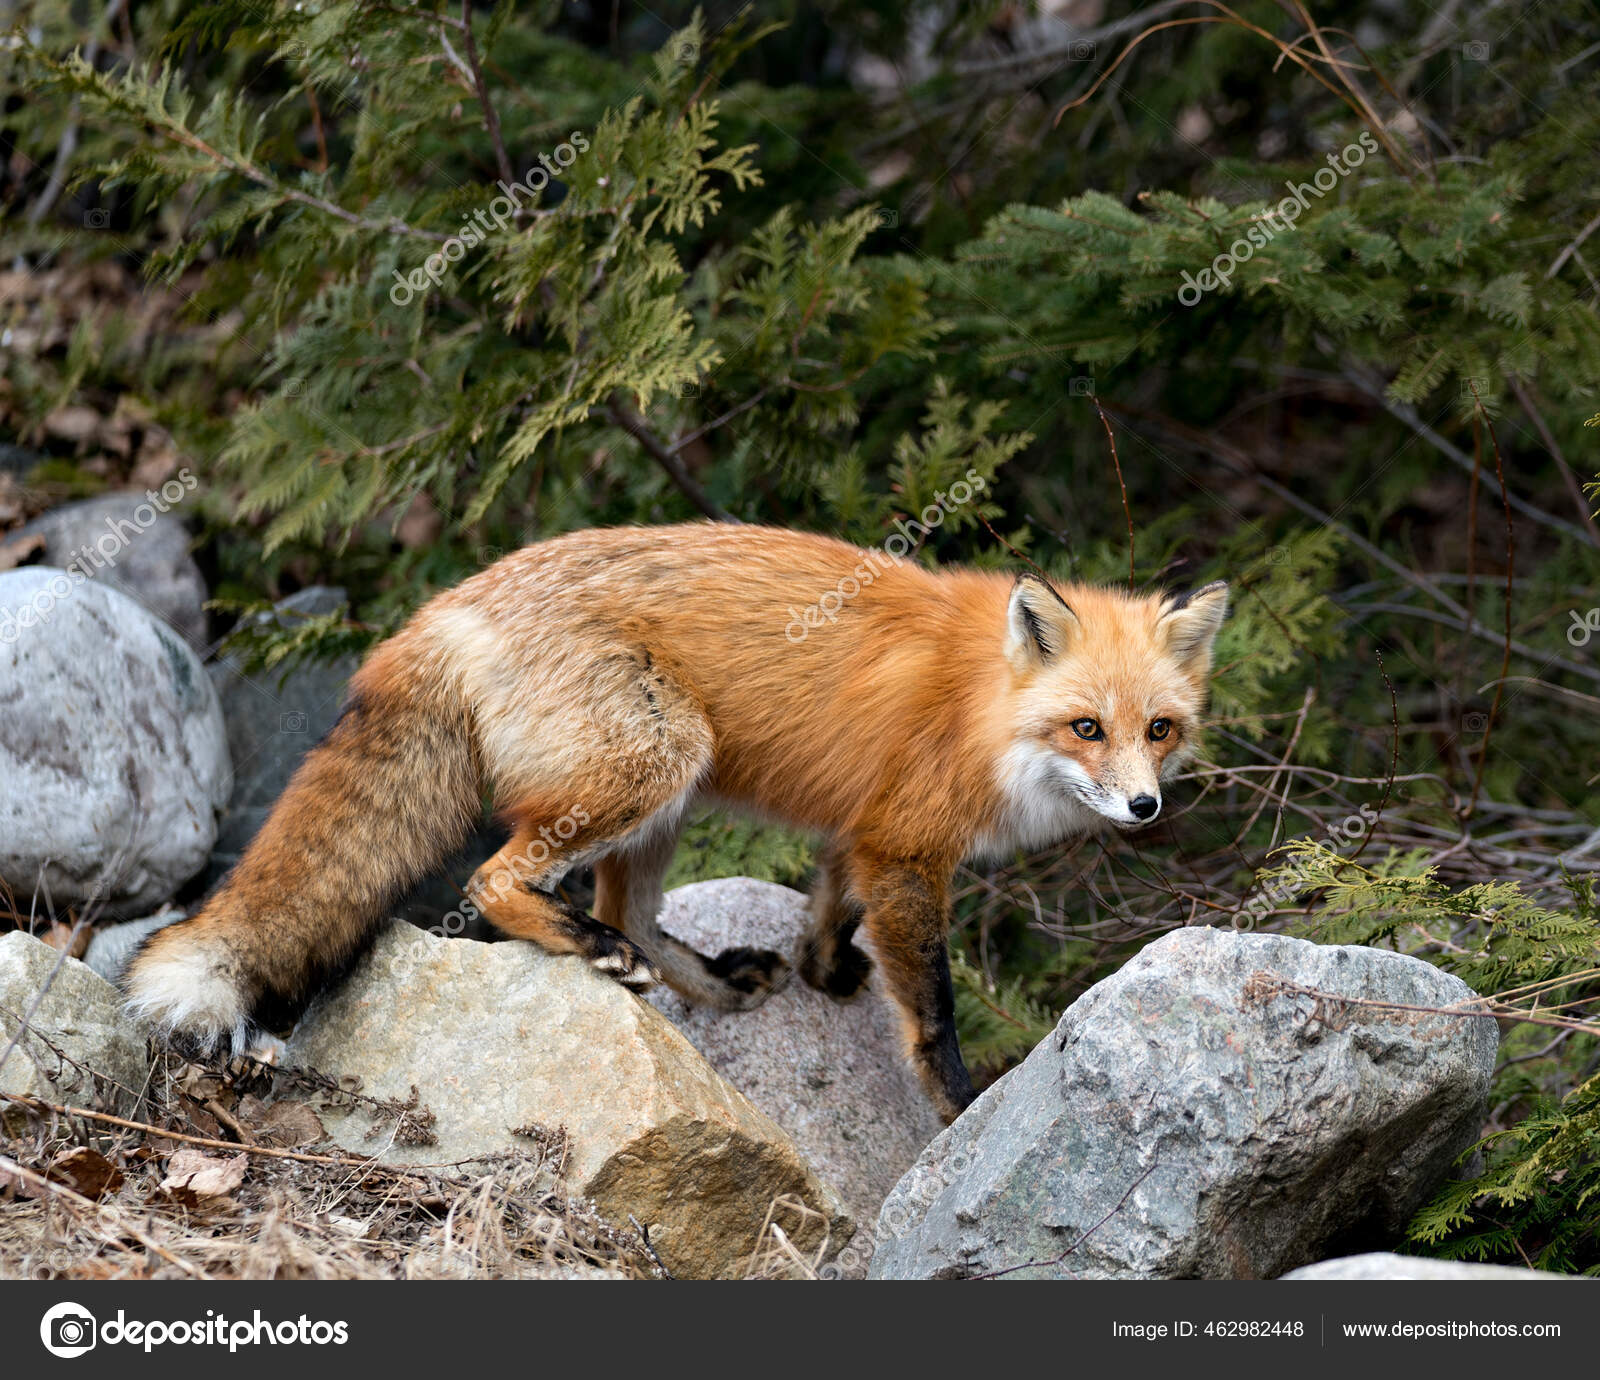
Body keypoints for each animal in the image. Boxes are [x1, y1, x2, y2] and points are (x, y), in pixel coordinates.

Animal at [124, 522, 1227, 1123]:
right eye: (1086, 727)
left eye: (1158, 729)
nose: (1144, 806)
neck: (982, 708)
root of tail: (444, 609)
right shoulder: (908, 847)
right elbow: (934, 1008)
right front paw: (959, 1101)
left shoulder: (858, 828)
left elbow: (829, 907)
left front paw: (825, 972)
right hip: (657, 763)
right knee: (495, 881)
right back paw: (578, 940)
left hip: (668, 796)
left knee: (636, 916)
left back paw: (699, 976)